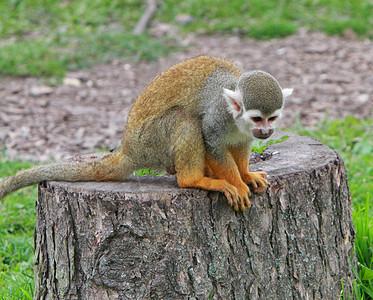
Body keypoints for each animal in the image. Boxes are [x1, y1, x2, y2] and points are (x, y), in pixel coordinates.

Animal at [0, 55, 290, 211]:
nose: (266, 130)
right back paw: (194, 179)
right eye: (257, 118)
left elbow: (240, 145)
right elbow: (212, 144)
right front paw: (237, 183)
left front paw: (246, 174)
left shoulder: (244, 132)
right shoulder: (218, 116)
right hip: (150, 141)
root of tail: (127, 148)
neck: (236, 118)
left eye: (272, 117)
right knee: (185, 119)